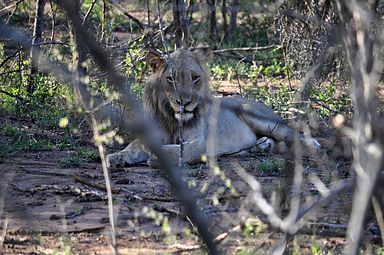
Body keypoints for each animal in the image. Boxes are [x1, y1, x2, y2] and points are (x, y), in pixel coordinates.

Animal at [106, 46, 320, 168]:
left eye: (195, 77)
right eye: (170, 79)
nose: (184, 102)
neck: (173, 119)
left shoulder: (200, 143)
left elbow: (179, 150)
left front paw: (156, 158)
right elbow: (134, 146)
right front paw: (115, 157)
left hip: (260, 119)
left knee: (290, 133)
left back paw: (312, 144)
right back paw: (261, 147)